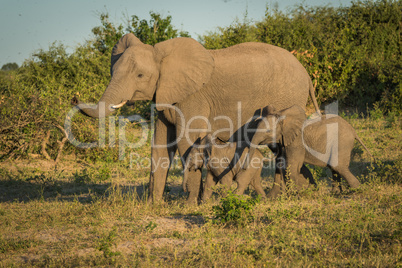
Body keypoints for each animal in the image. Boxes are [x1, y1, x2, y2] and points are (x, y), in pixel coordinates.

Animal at [70, 33, 318, 203]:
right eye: (113, 72)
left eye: (140, 75)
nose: (74, 97)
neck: (162, 56)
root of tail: (306, 71)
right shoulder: (165, 96)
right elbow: (160, 146)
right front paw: (154, 205)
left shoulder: (192, 97)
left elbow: (186, 141)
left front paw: (191, 204)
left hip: (288, 97)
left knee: (282, 147)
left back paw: (280, 195)